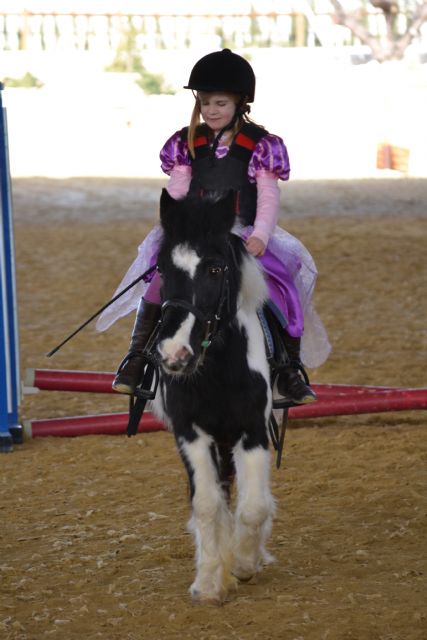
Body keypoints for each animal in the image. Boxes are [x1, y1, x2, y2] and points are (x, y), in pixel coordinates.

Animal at [152, 190, 276, 604]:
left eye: (216, 270)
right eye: (161, 268)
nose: (174, 354)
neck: (217, 371)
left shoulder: (253, 430)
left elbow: (253, 506)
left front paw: (244, 564)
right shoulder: (190, 433)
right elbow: (206, 504)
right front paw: (209, 581)